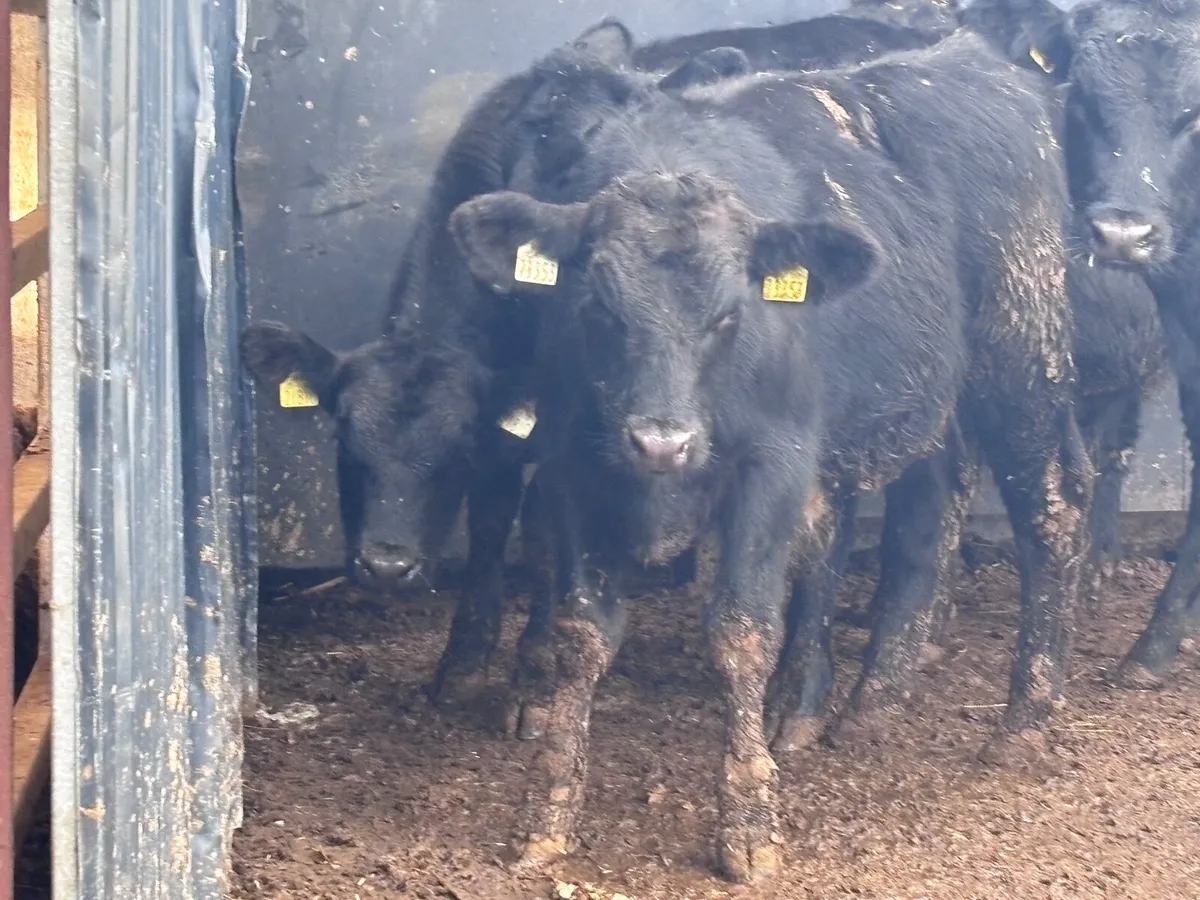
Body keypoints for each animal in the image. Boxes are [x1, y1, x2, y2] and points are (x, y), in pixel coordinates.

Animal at [239, 5, 961, 711]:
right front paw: (464, 663)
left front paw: (531, 674)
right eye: (346, 442)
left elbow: (537, 529)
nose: (387, 564)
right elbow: (496, 521)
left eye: (451, 456)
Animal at [449, 30, 1088, 882]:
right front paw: (547, 810)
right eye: (598, 306)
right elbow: (583, 632)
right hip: (930, 391)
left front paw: (750, 822)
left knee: (1052, 507)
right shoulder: (570, 463)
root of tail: (975, 58)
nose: (661, 441)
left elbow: (742, 629)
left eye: (731, 314)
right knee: (931, 512)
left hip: (1021, 354)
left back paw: (1024, 721)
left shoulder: (774, 463)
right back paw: (874, 701)